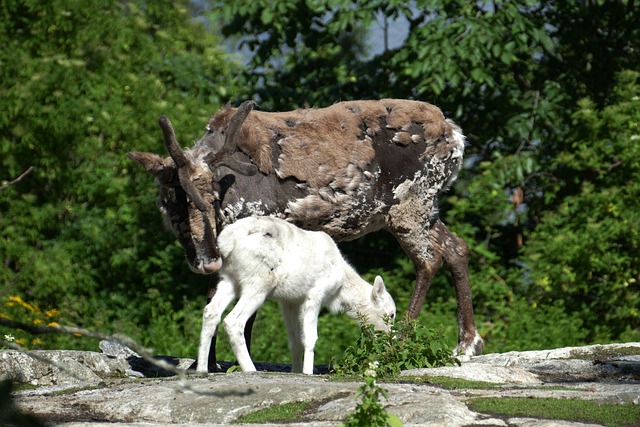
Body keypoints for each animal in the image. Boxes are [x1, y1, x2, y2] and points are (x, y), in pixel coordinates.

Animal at [195, 217, 396, 374]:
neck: (340, 289)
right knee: (233, 321)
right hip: (258, 282)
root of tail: (227, 242)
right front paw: (307, 372)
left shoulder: (289, 301)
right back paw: (250, 369)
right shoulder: (315, 294)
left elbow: (295, 341)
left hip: (229, 279)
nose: (391, 340)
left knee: (211, 311)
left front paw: (296, 371)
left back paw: (202, 369)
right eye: (392, 314)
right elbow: (310, 338)